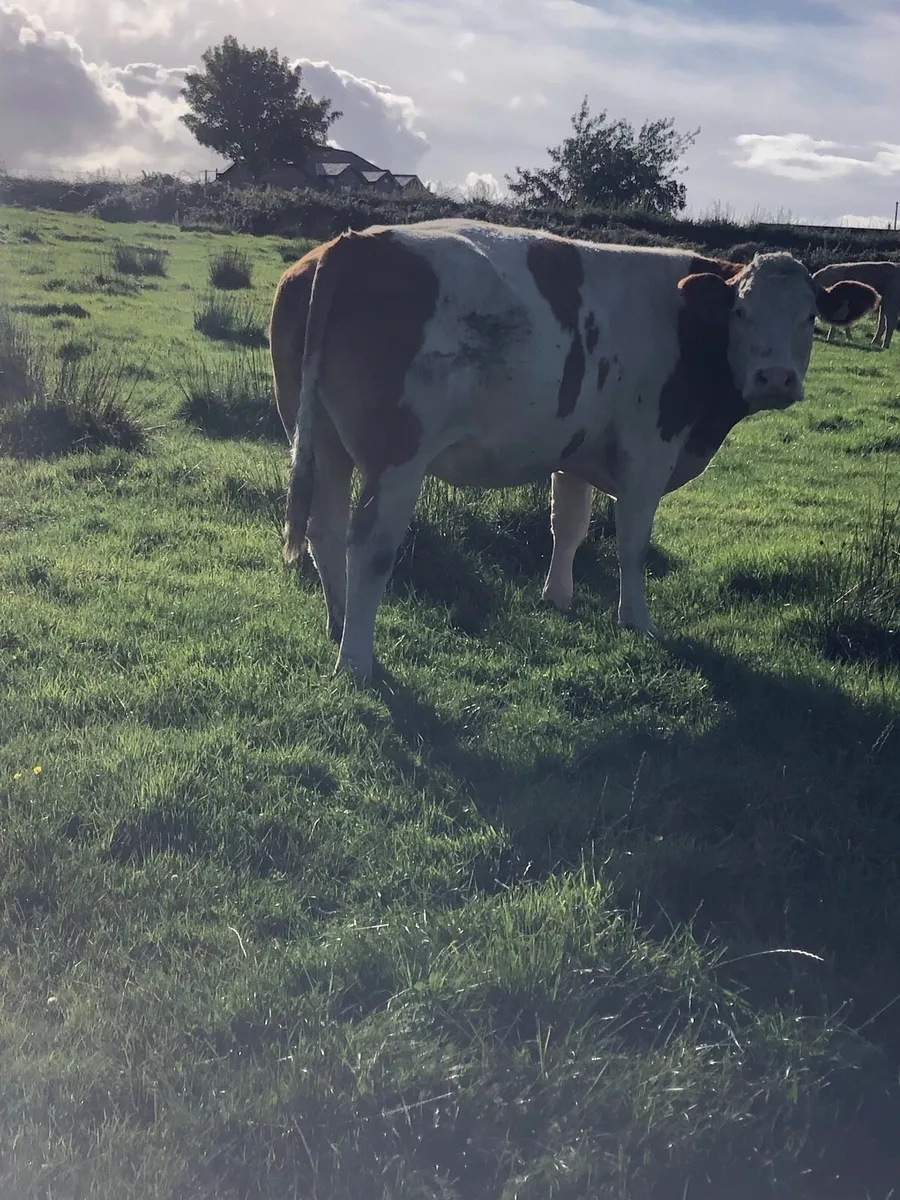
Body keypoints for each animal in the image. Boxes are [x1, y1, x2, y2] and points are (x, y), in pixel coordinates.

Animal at [271, 218, 876, 683]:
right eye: (741, 313)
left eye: (809, 317)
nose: (776, 378)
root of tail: (357, 242)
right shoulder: (648, 451)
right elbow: (631, 544)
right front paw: (636, 620)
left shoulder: (575, 451)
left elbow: (569, 526)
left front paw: (557, 597)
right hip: (396, 455)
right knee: (370, 547)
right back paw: (355, 661)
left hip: (319, 439)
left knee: (325, 530)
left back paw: (337, 623)